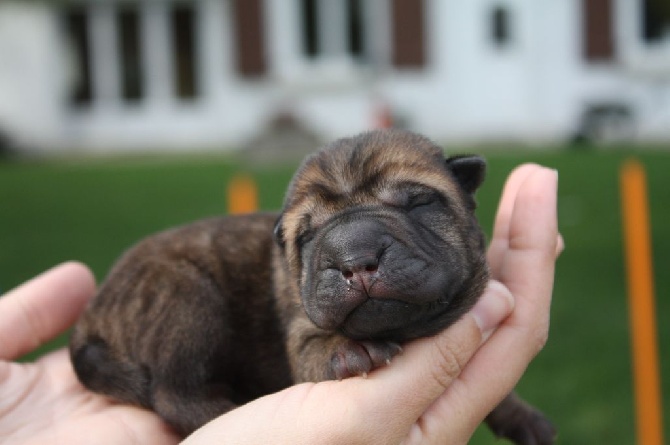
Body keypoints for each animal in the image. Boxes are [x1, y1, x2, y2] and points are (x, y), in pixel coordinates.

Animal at [72, 126, 556, 442]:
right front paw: (349, 349)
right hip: (187, 299)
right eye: (305, 237)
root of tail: (89, 319)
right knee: (174, 392)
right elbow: (317, 348)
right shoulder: (300, 328)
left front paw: (523, 417)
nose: (355, 259)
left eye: (418, 203)